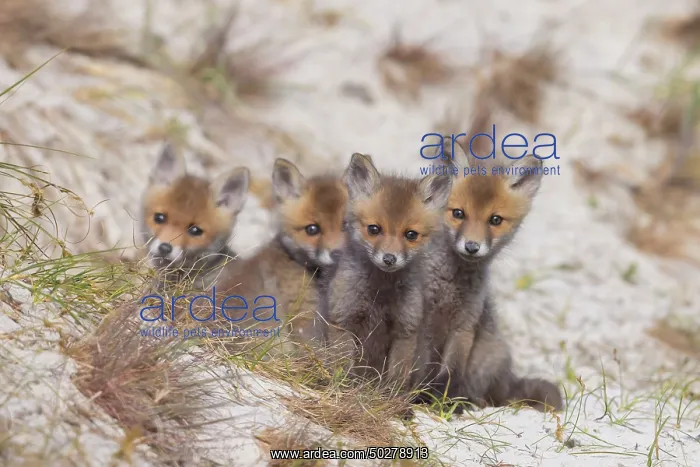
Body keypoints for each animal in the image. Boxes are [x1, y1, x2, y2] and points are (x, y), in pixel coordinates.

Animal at [323, 153, 452, 391]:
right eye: (374, 229)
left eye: (411, 234)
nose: (389, 259)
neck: (380, 292)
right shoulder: (342, 320)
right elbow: (342, 367)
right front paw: (343, 390)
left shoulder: (406, 329)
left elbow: (396, 378)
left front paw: (390, 398)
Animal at [413, 146, 563, 413]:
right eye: (458, 214)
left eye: (495, 220)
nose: (472, 247)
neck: (450, 285)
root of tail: (509, 379)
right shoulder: (425, 322)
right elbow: (420, 366)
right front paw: (417, 398)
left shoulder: (465, 327)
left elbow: (450, 373)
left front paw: (446, 404)